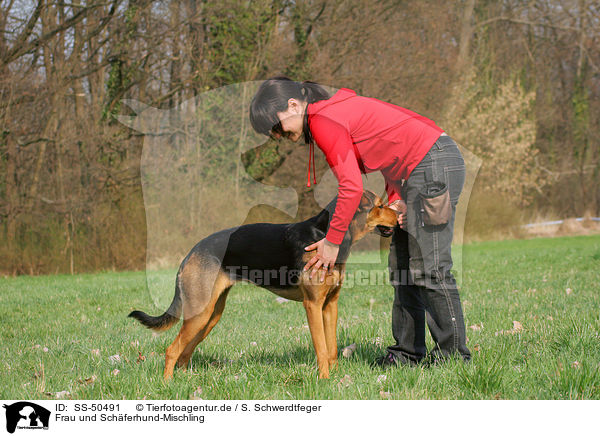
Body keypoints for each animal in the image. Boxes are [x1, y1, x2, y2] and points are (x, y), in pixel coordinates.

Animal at [129, 191, 396, 378]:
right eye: (380, 205)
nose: (398, 214)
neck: (325, 235)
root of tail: (190, 253)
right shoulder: (312, 305)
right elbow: (321, 347)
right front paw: (324, 379)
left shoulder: (330, 304)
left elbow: (331, 349)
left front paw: (337, 378)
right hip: (199, 314)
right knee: (172, 351)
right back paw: (168, 385)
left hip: (209, 316)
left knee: (184, 353)